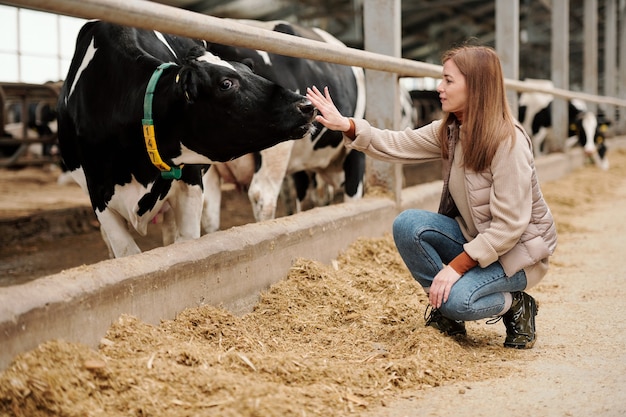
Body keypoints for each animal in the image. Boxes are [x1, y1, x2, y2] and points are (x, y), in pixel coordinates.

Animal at [56, 22, 314, 258]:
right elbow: (126, 252)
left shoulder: (190, 185)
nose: (306, 105)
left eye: (251, 72)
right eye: (226, 83)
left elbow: (185, 247)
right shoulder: (100, 198)